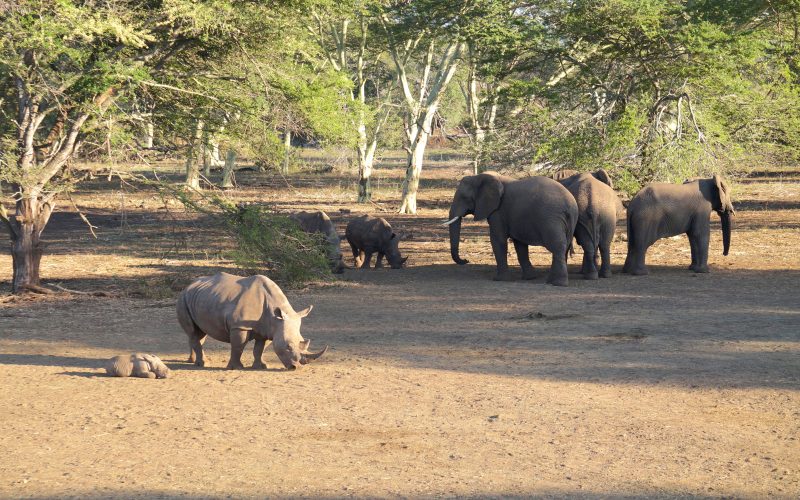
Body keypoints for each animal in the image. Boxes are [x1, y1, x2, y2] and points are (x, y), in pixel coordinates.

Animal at [176, 272, 328, 370]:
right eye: (288, 346)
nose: (296, 367)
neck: (276, 318)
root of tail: (189, 285)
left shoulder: (268, 328)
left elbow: (259, 349)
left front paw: (262, 366)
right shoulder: (240, 326)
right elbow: (238, 346)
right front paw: (236, 368)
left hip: (200, 298)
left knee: (200, 333)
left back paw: (194, 361)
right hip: (183, 299)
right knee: (193, 332)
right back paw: (203, 364)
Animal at [444, 171, 580, 286]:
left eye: (464, 198)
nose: (466, 260)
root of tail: (569, 204)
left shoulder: (498, 212)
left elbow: (497, 240)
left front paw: (499, 279)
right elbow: (520, 244)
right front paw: (530, 278)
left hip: (551, 219)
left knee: (558, 246)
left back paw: (558, 283)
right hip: (569, 220)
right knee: (564, 247)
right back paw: (551, 281)